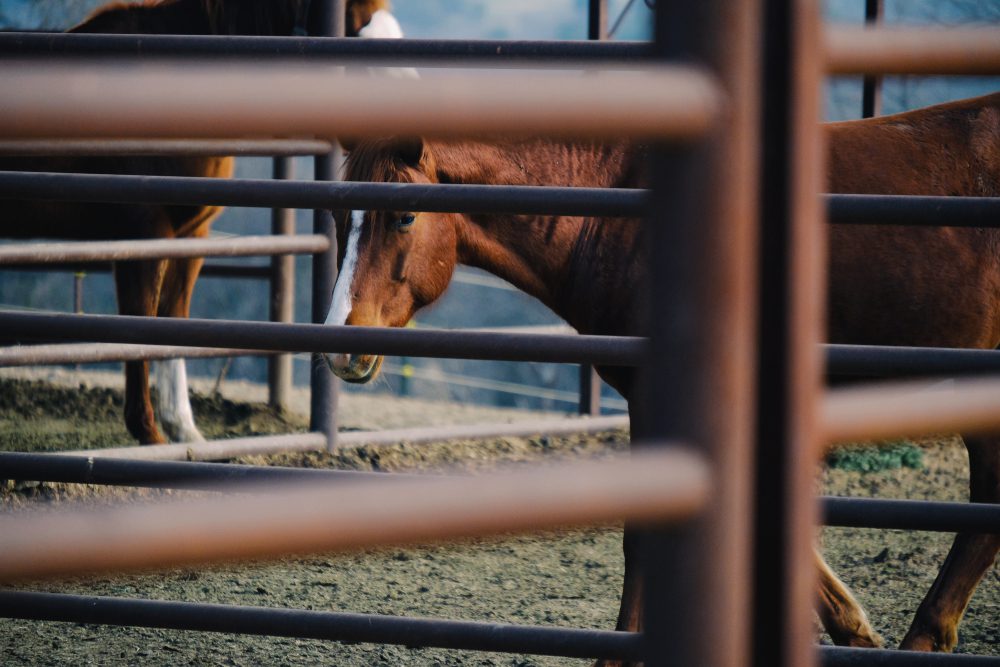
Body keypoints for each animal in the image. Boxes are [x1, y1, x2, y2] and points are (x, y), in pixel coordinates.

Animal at [0, 1, 398, 448]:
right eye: (362, 47)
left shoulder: (188, 238)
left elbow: (175, 321)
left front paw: (182, 428)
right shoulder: (145, 233)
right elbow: (139, 324)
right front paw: (148, 432)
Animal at [326, 94, 1000, 664]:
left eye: (405, 216)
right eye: (338, 216)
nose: (341, 345)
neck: (621, 208)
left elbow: (643, 536)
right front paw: (853, 629)